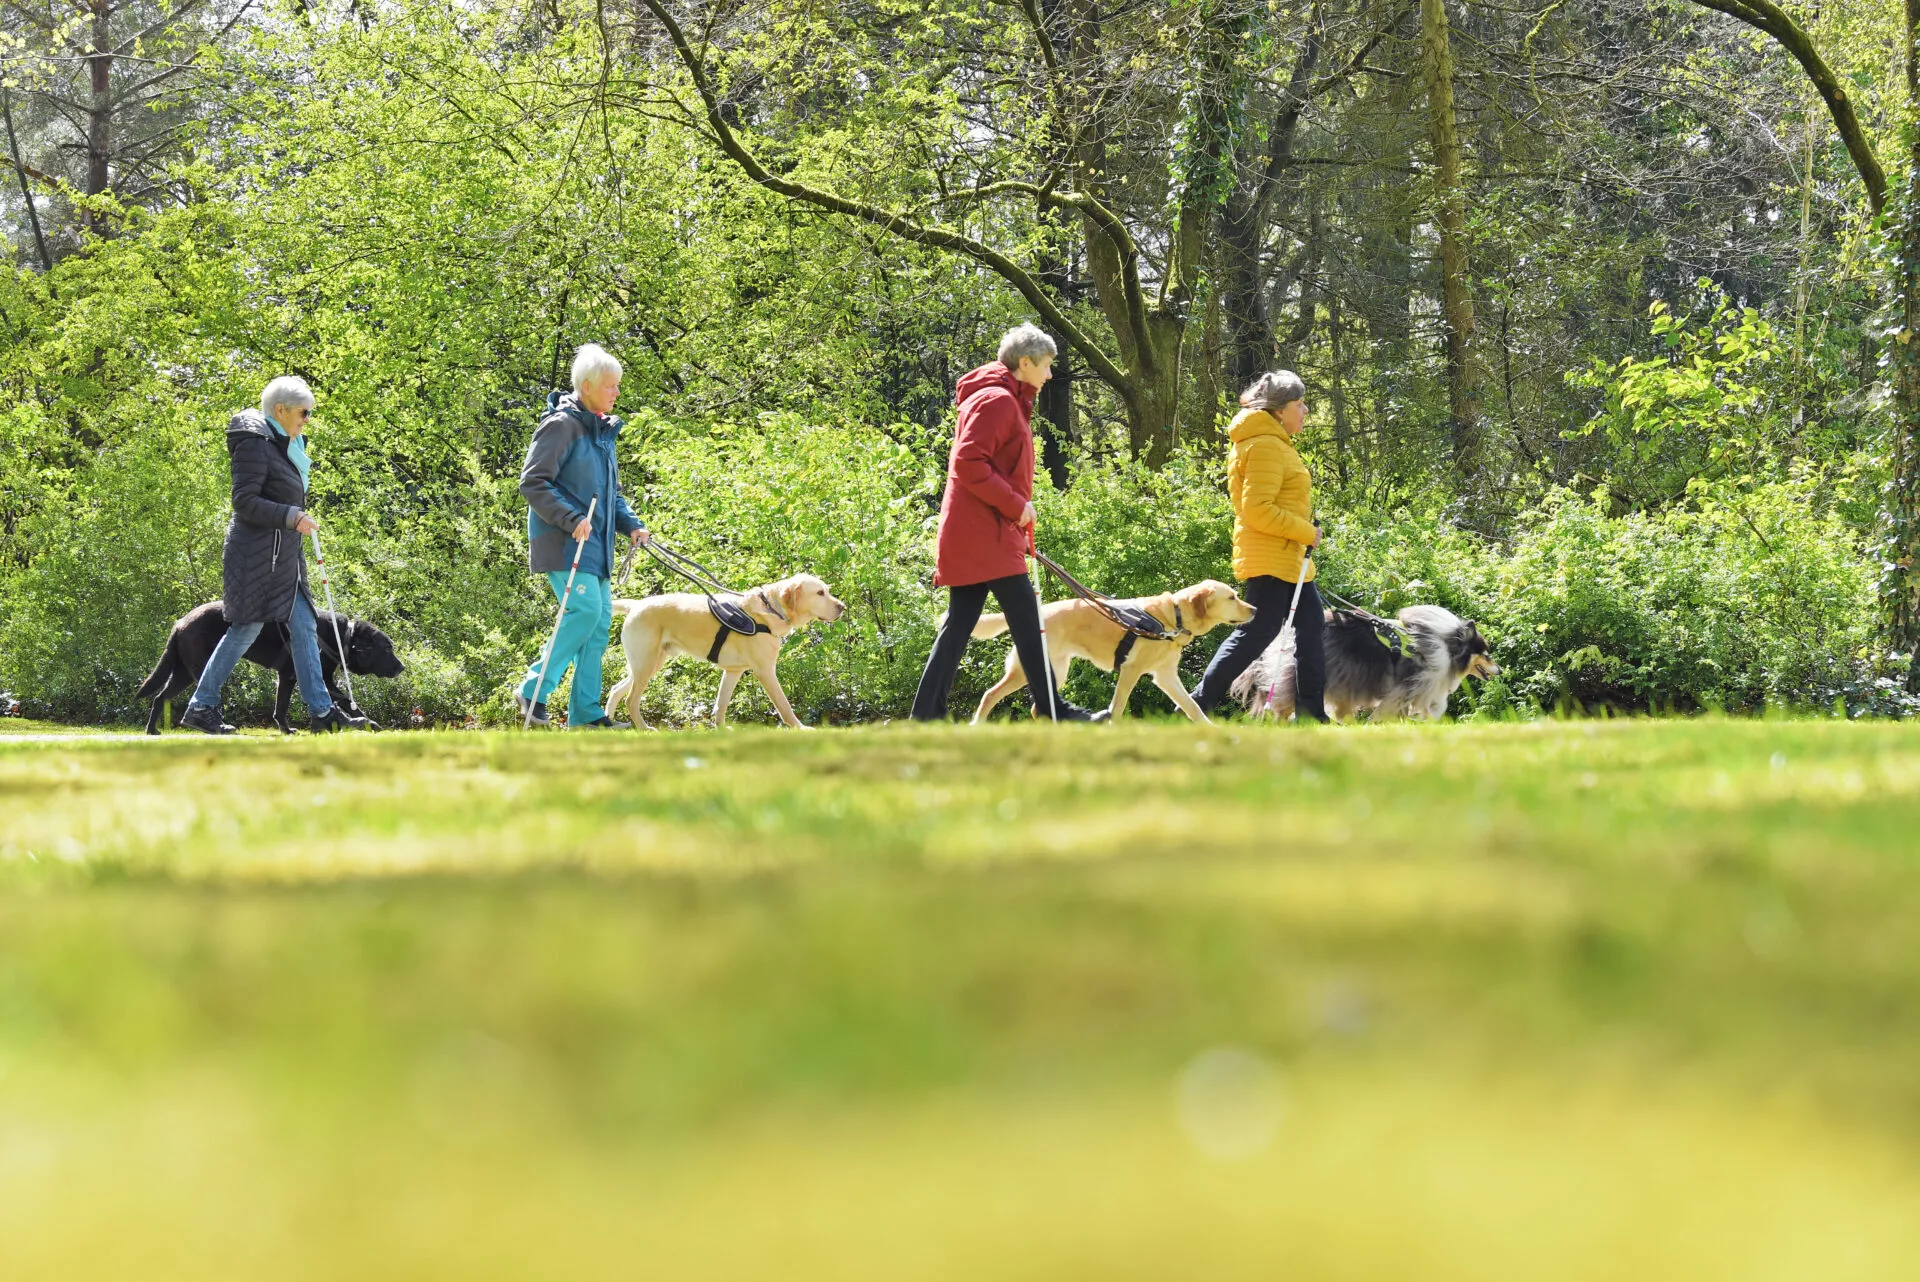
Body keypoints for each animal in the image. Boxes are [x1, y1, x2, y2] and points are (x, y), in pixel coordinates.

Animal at [139, 602, 405, 736]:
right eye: (387, 649)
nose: (402, 667)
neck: (343, 637)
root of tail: (179, 623)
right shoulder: (322, 678)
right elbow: (344, 701)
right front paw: (364, 722)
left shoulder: (287, 677)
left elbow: (281, 707)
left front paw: (288, 730)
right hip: (198, 667)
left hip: (182, 672)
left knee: (160, 697)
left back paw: (152, 730)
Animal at [599, 571, 840, 729]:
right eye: (819, 593)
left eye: (827, 591)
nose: (842, 607)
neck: (771, 611)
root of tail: (636, 605)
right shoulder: (765, 671)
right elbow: (784, 705)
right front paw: (800, 728)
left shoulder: (733, 671)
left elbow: (721, 703)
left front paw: (722, 729)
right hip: (646, 664)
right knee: (631, 700)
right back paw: (643, 728)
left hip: (647, 664)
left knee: (616, 689)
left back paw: (607, 723)